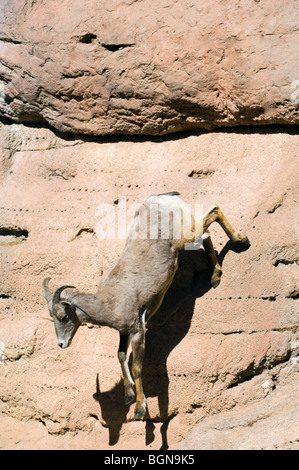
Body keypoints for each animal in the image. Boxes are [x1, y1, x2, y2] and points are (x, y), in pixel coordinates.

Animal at [41, 193, 248, 420]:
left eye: (63, 317)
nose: (61, 344)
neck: (109, 301)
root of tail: (163, 198)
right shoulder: (124, 332)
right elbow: (121, 356)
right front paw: (128, 395)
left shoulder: (138, 332)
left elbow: (137, 368)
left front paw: (140, 409)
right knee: (207, 232)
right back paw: (216, 276)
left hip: (186, 237)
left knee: (213, 214)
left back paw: (241, 243)